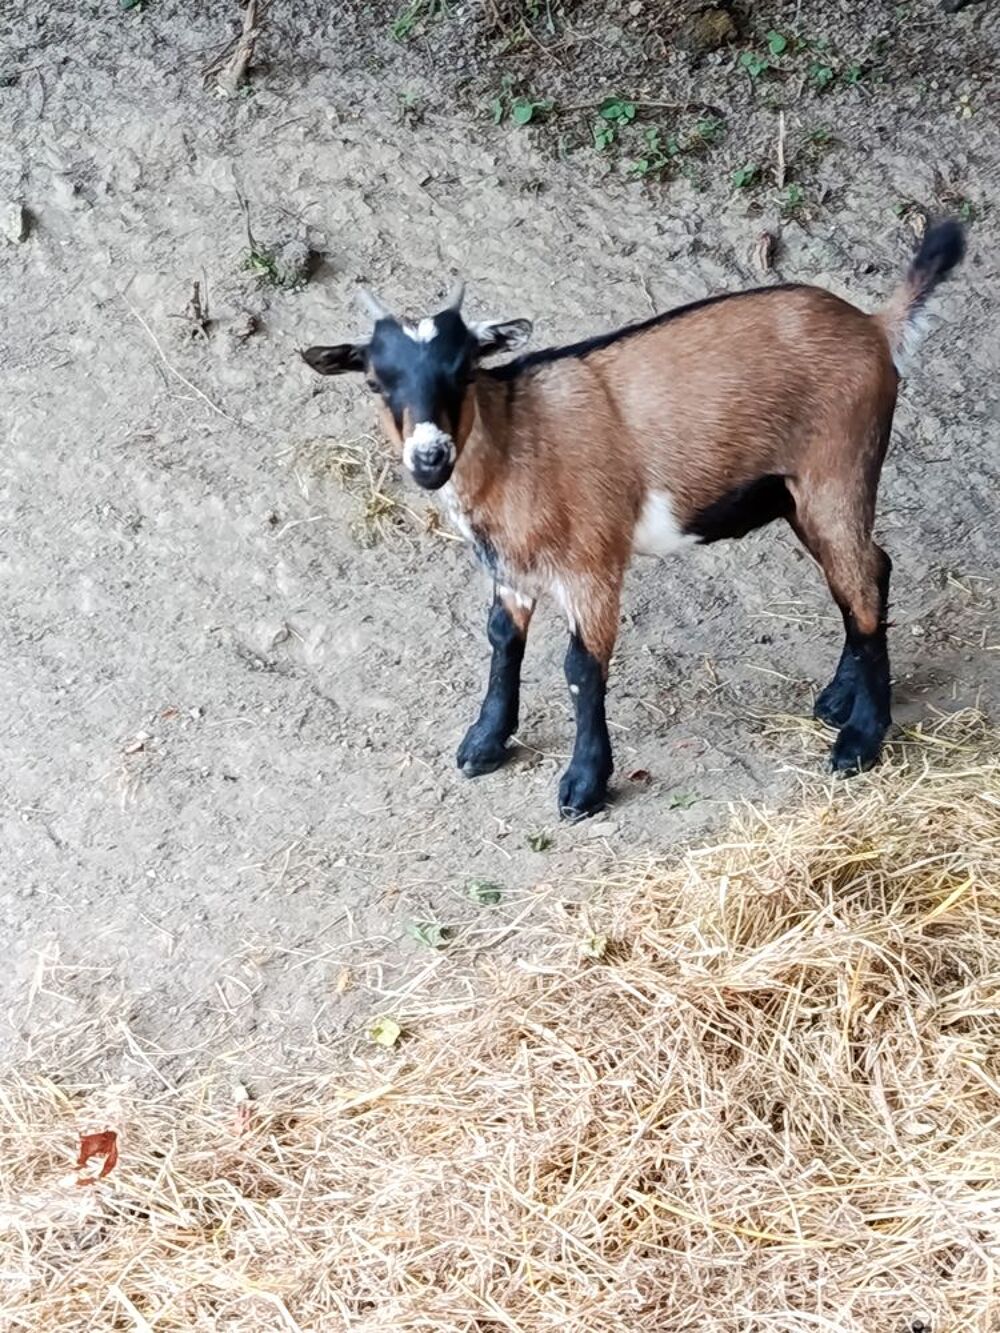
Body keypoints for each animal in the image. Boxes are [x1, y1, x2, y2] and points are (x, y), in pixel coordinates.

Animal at [302, 221, 965, 818]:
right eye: (375, 381)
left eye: (463, 371)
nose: (430, 458)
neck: (517, 441)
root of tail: (874, 326)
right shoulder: (511, 570)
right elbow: (502, 640)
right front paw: (484, 744)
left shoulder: (593, 564)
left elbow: (581, 667)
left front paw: (583, 785)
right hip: (799, 498)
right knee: (864, 575)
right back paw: (835, 700)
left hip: (838, 473)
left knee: (862, 583)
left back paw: (859, 740)